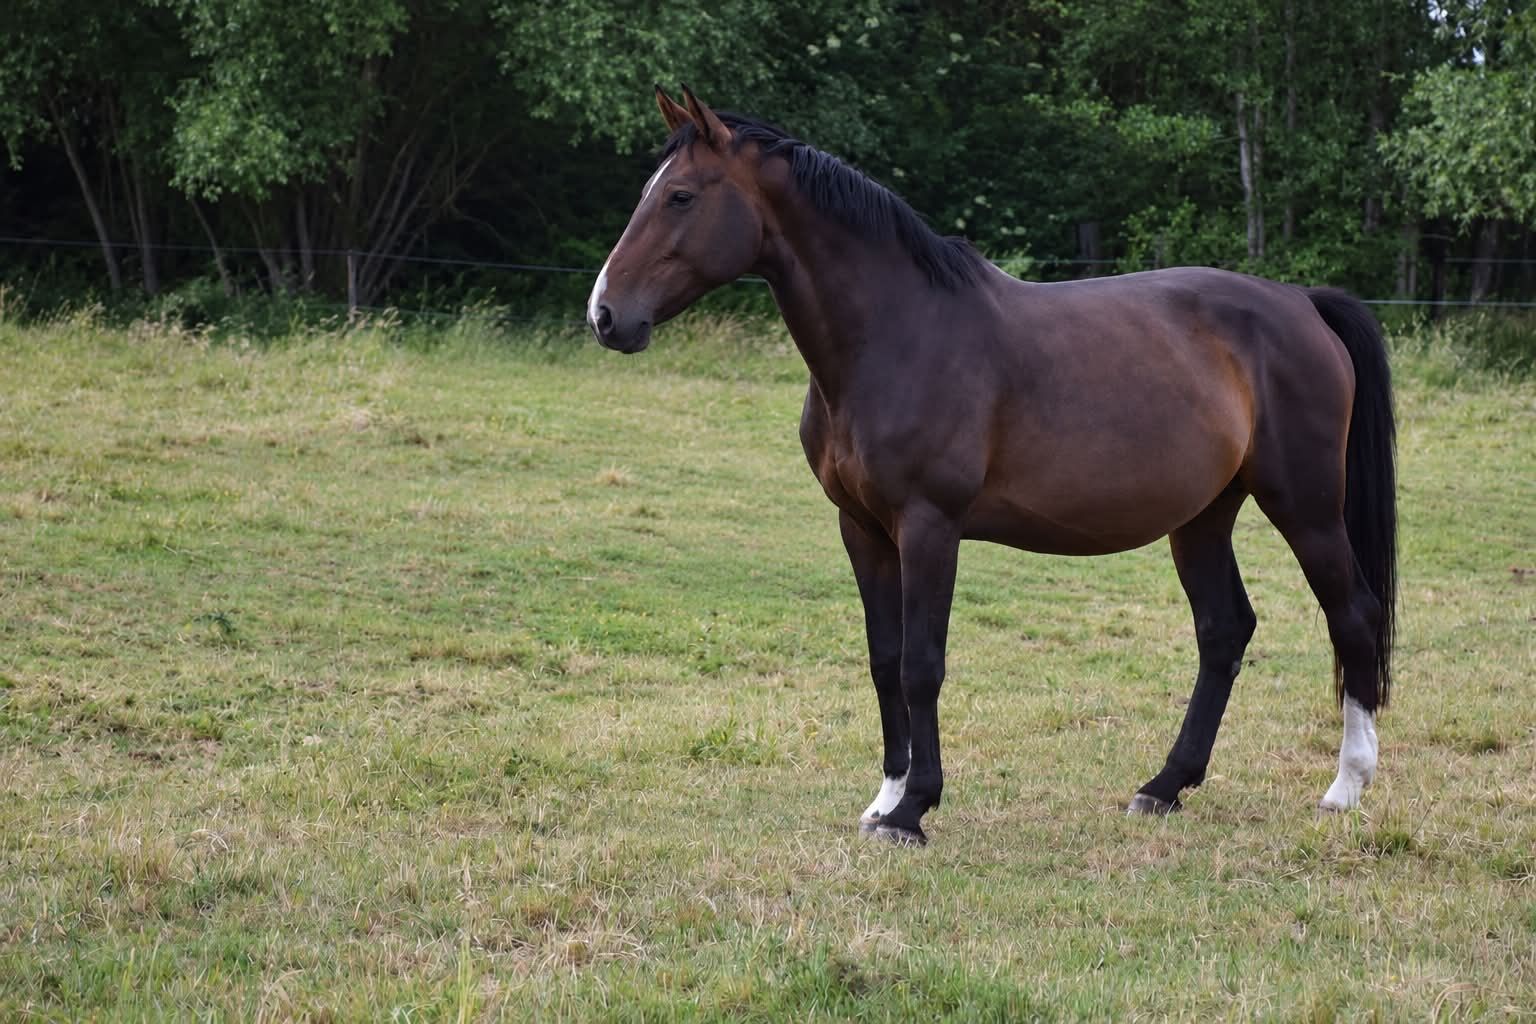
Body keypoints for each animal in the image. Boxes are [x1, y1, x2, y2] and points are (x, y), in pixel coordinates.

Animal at [587, 86, 1397, 845]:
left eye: (681, 196)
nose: (605, 315)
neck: (898, 335)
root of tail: (1301, 302)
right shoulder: (862, 529)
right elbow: (883, 659)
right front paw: (884, 797)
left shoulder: (929, 527)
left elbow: (922, 664)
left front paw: (913, 810)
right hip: (1201, 517)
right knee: (1224, 631)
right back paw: (1164, 786)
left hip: (1305, 507)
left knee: (1353, 616)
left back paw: (1346, 787)